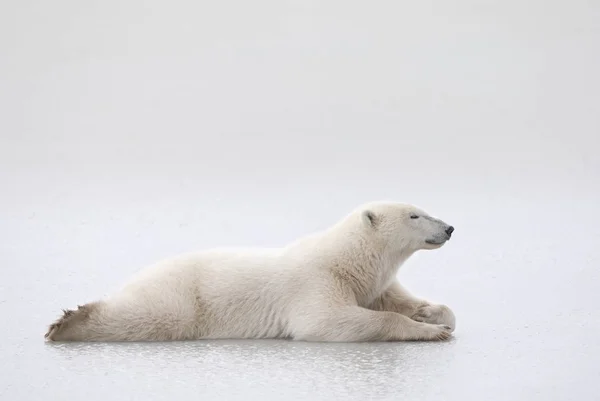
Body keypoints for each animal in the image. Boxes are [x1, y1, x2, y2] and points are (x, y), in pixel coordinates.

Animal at [44, 200, 458, 340]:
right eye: (414, 215)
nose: (449, 228)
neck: (349, 260)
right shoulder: (316, 280)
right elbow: (325, 321)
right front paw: (430, 331)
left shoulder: (372, 284)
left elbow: (399, 301)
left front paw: (432, 314)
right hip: (181, 295)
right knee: (152, 316)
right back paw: (70, 322)